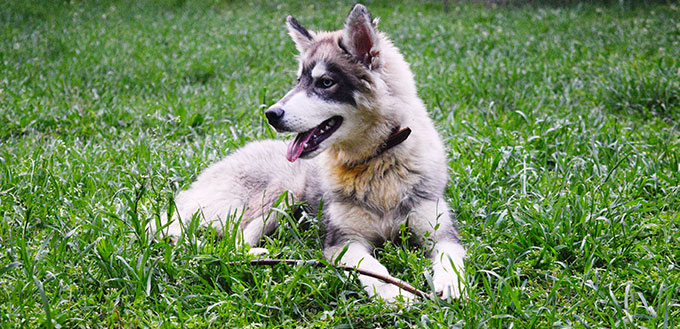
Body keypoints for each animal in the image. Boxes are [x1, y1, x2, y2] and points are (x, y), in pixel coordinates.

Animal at [151, 3, 464, 302]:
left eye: (325, 82)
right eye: (299, 81)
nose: (271, 114)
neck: (376, 162)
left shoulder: (440, 231)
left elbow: (451, 256)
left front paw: (451, 284)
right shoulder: (343, 242)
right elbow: (373, 269)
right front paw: (396, 294)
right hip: (282, 191)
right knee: (232, 241)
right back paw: (260, 255)